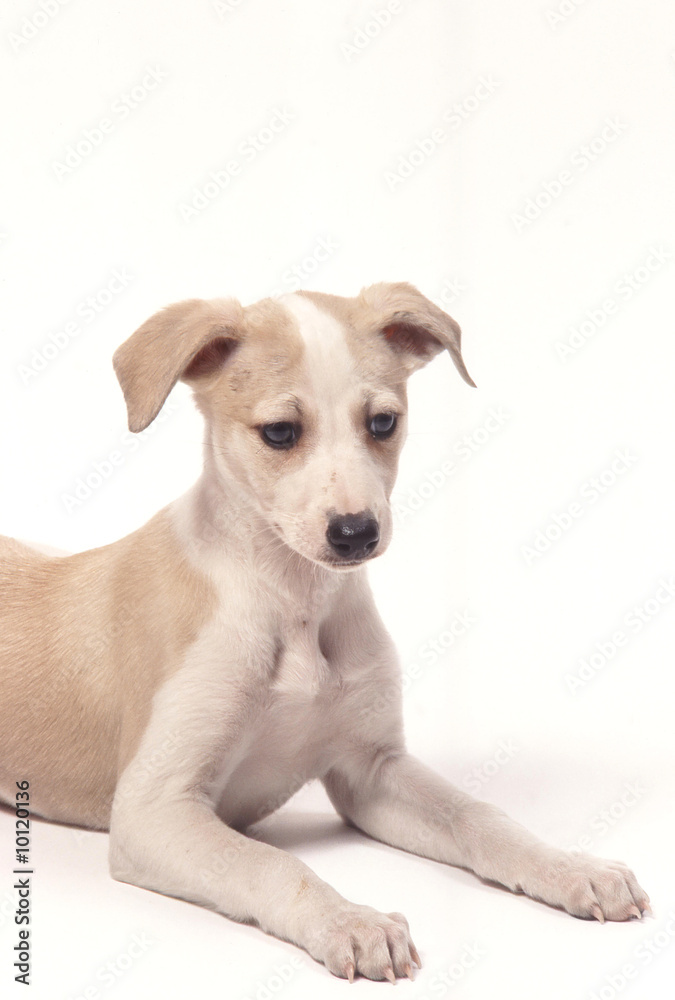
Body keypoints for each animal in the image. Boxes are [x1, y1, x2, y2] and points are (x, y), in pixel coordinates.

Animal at [2, 284, 652, 984]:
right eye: (280, 432)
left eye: (383, 423)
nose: (356, 533)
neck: (295, 598)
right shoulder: (154, 808)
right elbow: (270, 862)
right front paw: (351, 921)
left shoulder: (370, 770)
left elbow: (478, 815)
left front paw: (571, 868)